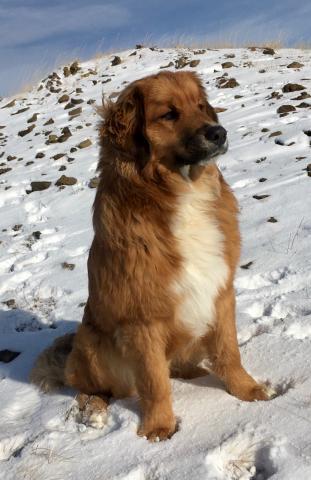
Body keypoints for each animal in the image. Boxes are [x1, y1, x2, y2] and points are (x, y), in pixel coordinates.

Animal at [31, 69, 276, 440]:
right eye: (169, 114)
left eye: (200, 106)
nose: (218, 132)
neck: (180, 193)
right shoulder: (142, 318)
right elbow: (154, 380)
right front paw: (159, 428)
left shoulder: (220, 292)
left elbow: (229, 351)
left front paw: (246, 390)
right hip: (92, 346)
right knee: (94, 387)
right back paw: (93, 409)